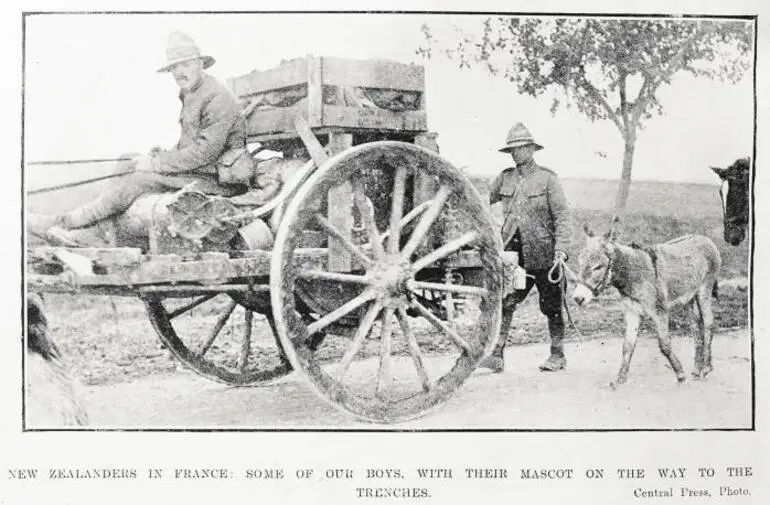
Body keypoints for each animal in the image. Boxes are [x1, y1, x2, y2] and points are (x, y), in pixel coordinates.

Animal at [568, 219, 720, 388]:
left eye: (598, 267)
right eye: (580, 262)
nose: (578, 298)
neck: (633, 275)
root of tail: (703, 238)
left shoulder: (660, 312)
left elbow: (664, 345)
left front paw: (680, 375)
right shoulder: (632, 312)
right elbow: (627, 346)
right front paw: (620, 379)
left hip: (704, 290)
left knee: (708, 322)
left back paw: (706, 368)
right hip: (688, 298)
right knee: (695, 326)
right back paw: (696, 369)